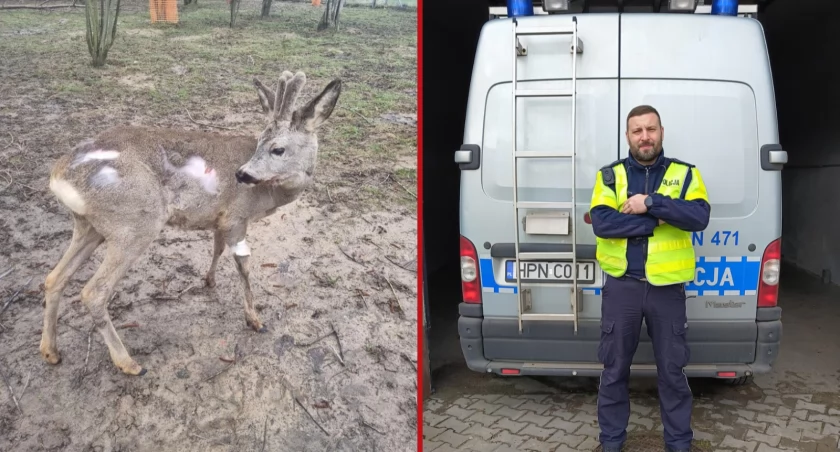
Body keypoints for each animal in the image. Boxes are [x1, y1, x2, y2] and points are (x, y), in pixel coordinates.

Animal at [41, 69, 342, 374]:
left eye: (277, 149)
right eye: (260, 143)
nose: (242, 174)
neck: (269, 193)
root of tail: (59, 176)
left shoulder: (220, 218)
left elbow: (216, 248)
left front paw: (209, 280)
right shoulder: (237, 216)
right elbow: (243, 266)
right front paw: (254, 320)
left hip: (89, 226)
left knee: (54, 277)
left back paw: (50, 351)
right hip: (135, 223)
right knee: (94, 291)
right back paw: (129, 363)